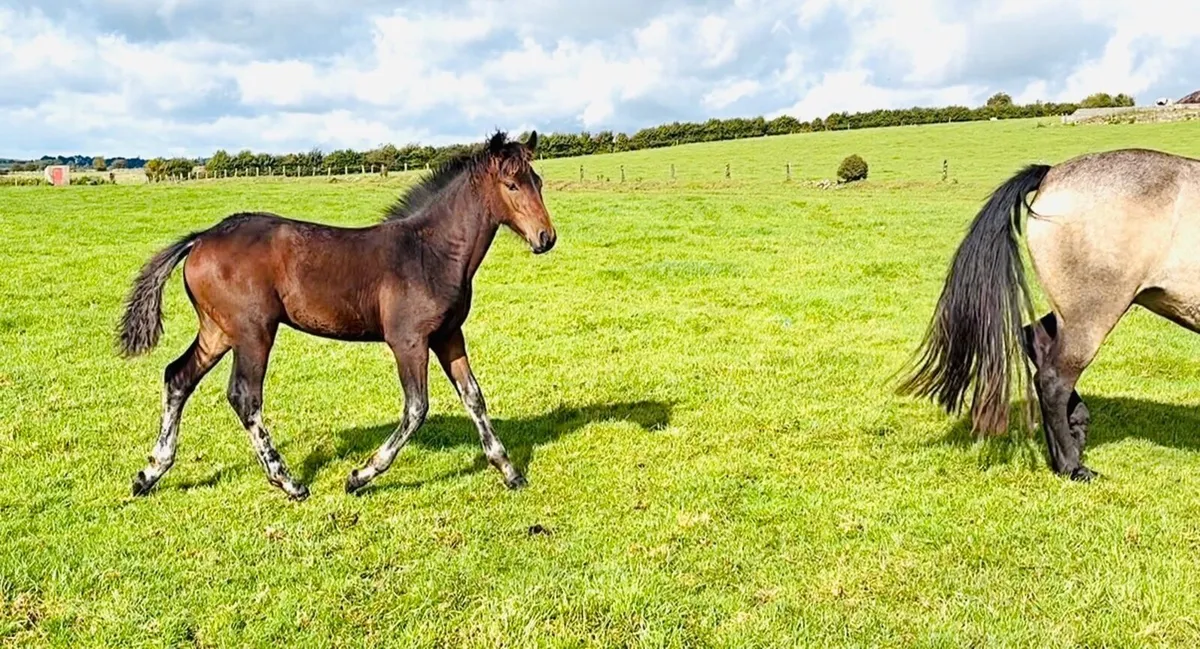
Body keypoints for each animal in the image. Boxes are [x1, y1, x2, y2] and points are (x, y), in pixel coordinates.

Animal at [117, 131, 555, 500]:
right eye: (511, 185)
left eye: (538, 181)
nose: (545, 238)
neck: (430, 252)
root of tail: (201, 238)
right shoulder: (408, 340)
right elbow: (416, 408)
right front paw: (359, 476)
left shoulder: (449, 336)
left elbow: (474, 397)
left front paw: (510, 470)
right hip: (253, 331)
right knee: (244, 395)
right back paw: (289, 481)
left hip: (218, 331)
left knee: (178, 377)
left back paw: (149, 473)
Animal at [900, 148, 1200, 481]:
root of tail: (1052, 174)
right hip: (1093, 313)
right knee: (1052, 379)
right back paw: (1071, 464)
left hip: (1073, 313)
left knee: (1034, 340)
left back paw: (1075, 428)